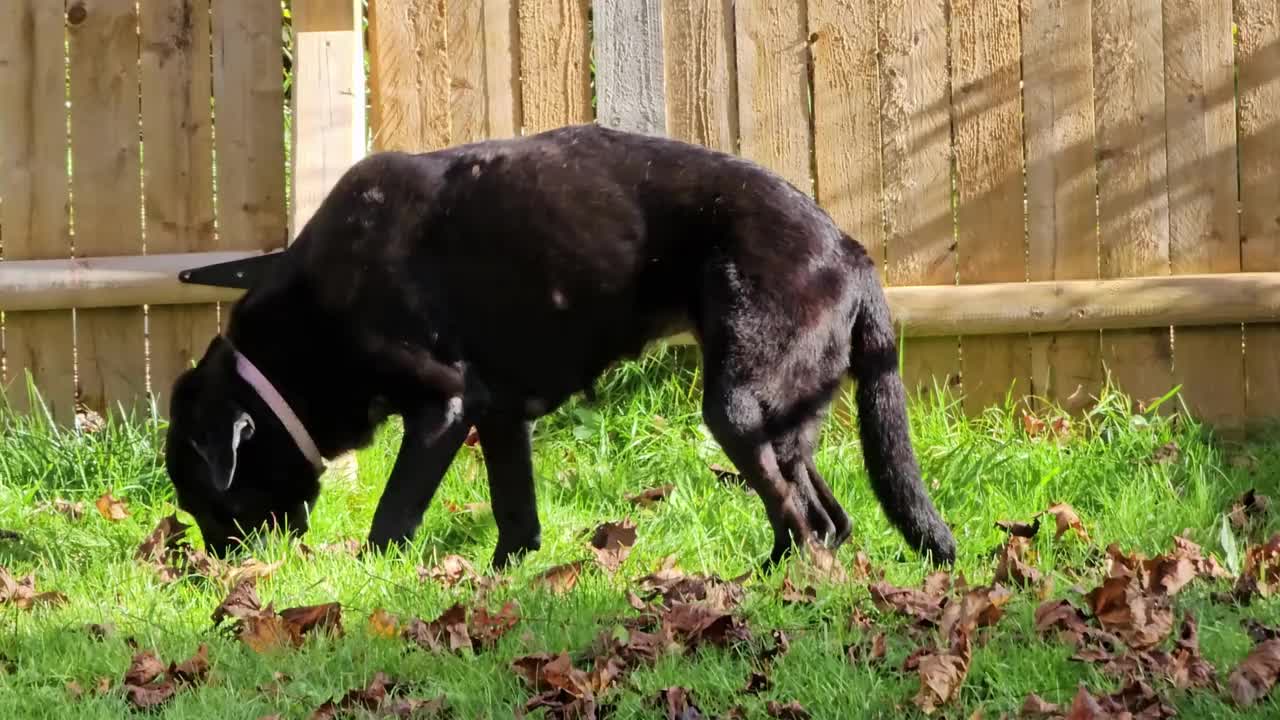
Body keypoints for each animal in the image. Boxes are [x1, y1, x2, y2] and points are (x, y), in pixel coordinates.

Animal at [165, 124, 957, 571]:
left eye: (203, 495)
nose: (219, 571)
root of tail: (852, 252)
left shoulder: (443, 407)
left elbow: (393, 516)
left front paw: (370, 577)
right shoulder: (497, 415)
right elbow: (515, 511)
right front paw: (504, 577)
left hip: (738, 405)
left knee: (807, 518)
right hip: (780, 413)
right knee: (826, 516)